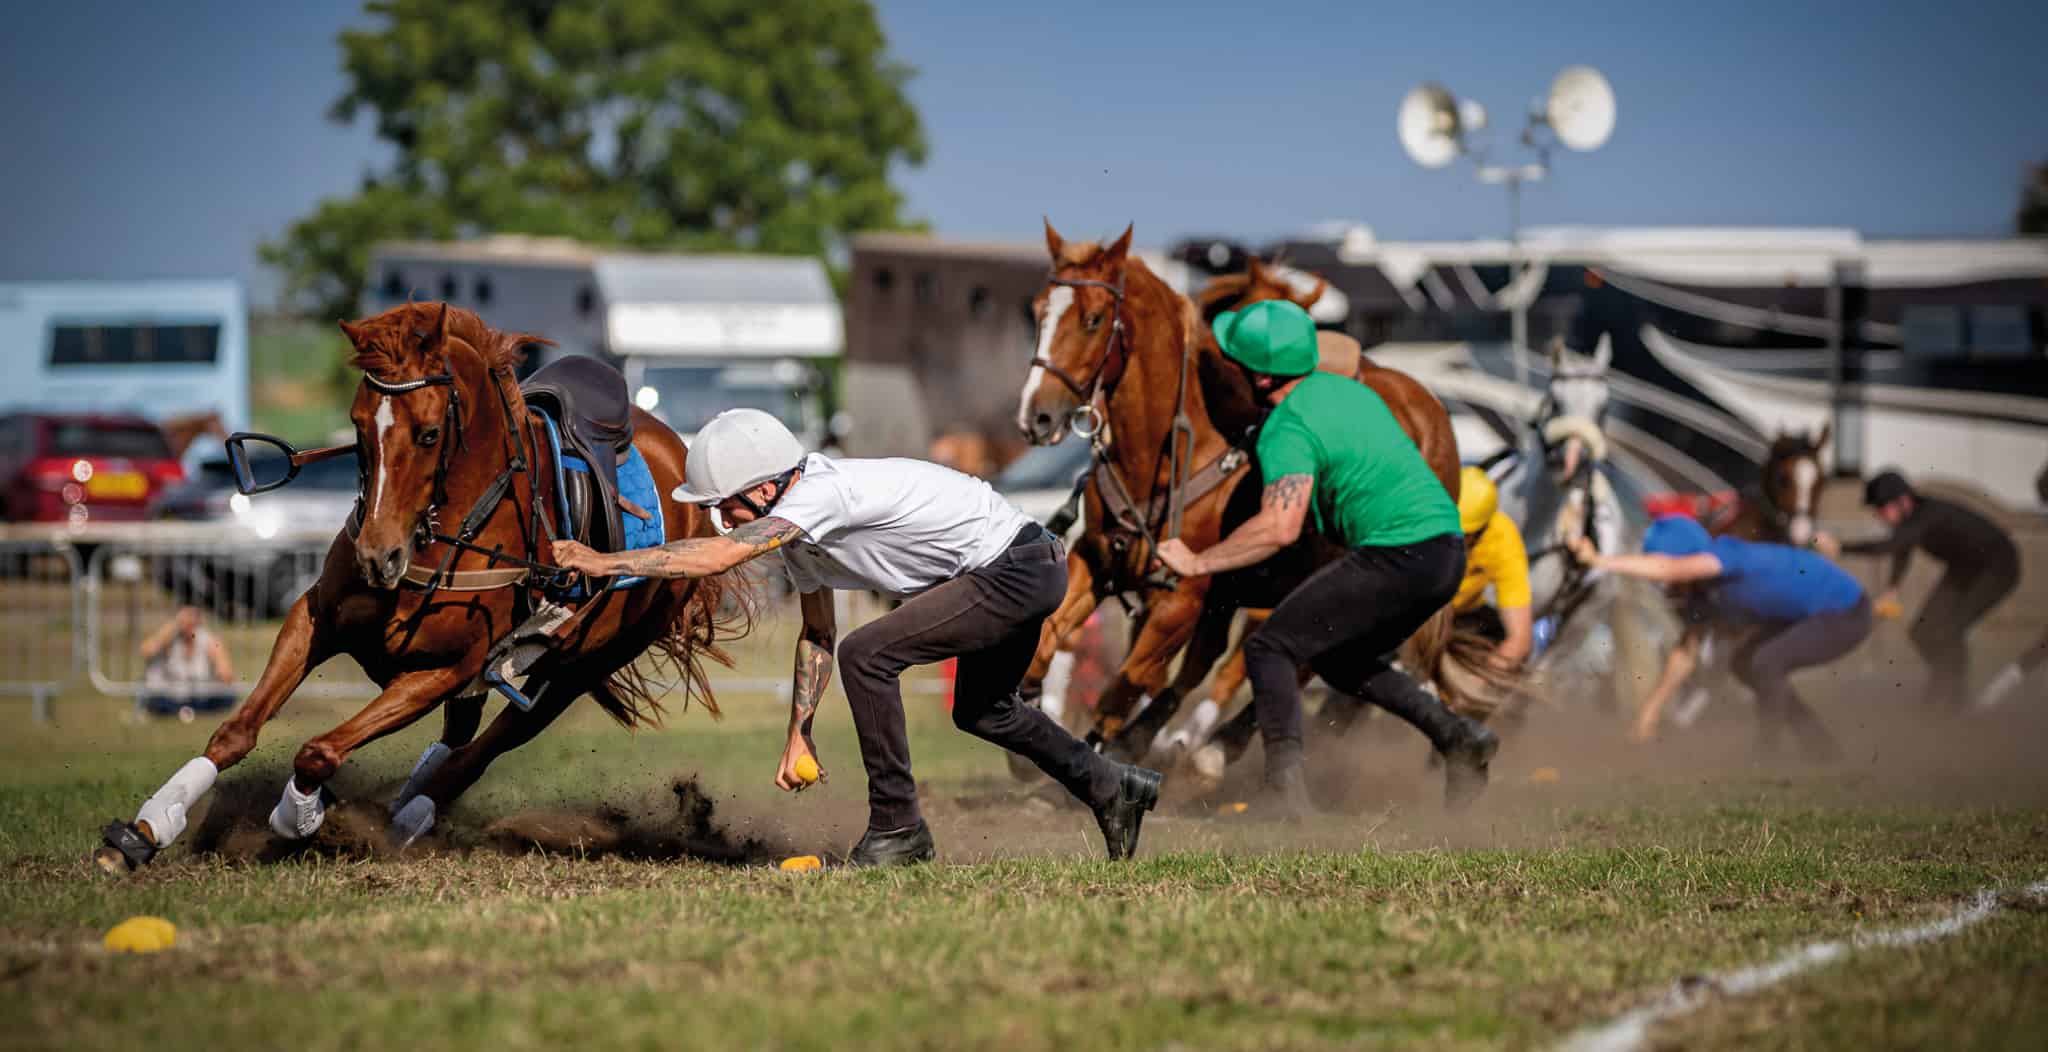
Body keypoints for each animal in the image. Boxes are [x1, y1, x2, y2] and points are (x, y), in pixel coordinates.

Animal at [96, 300, 741, 867]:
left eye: (429, 434)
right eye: (358, 426)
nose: (377, 555)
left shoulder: (445, 671)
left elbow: (319, 751)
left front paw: (298, 817)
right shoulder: (314, 617)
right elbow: (236, 730)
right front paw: (146, 829)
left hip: (577, 670)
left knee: (482, 749)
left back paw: (406, 819)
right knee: (458, 741)